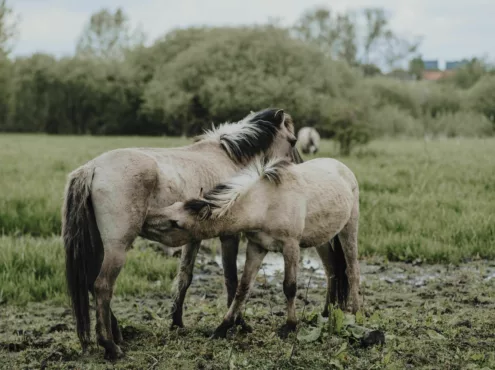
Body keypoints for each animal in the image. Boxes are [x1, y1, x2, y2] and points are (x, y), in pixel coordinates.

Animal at [61, 108, 302, 360]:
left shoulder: (193, 236)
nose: (298, 169)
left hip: (98, 246)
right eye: (293, 140)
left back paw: (117, 334)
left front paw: (177, 323)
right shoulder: (229, 236)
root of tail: (92, 169)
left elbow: (185, 278)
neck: (228, 157)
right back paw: (111, 345)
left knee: (91, 283)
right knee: (102, 286)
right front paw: (239, 324)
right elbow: (232, 280)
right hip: (117, 247)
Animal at [157, 155, 362, 340]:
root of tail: (344, 169)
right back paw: (326, 313)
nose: (151, 219)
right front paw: (222, 328)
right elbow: (243, 288)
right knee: (331, 271)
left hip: (349, 229)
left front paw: (290, 326)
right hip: (322, 239)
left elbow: (290, 287)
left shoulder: (291, 246)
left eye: (176, 223)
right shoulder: (257, 247)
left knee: (352, 272)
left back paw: (356, 315)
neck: (267, 203)